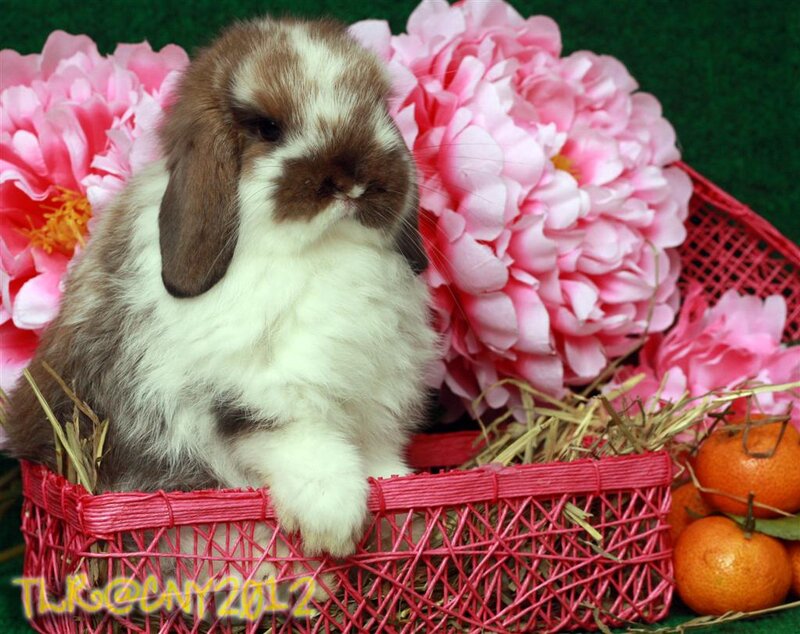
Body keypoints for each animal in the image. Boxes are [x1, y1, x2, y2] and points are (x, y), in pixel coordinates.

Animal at [4, 16, 438, 564]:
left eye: (379, 107)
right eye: (268, 128)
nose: (352, 179)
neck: (322, 253)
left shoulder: (376, 394)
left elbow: (379, 454)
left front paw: (406, 499)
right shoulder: (253, 393)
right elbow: (301, 443)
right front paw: (335, 523)